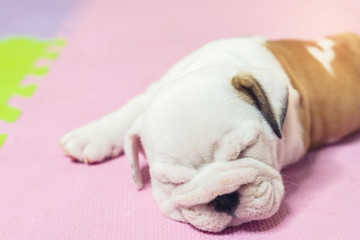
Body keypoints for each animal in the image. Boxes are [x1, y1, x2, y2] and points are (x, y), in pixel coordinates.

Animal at [60, 32, 360, 232]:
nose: (223, 197)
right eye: (171, 181)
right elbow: (130, 110)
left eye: (245, 150)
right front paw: (92, 135)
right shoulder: (150, 93)